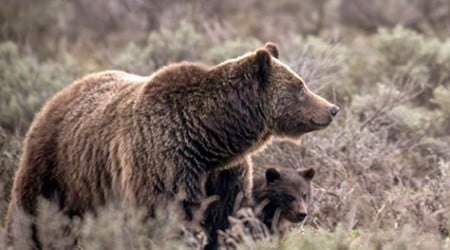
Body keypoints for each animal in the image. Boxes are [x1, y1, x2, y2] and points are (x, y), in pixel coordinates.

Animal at [6, 42, 338, 248]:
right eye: (299, 86)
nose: (332, 108)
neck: (209, 138)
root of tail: (58, 95)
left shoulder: (224, 174)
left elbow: (224, 218)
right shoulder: (166, 161)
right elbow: (168, 215)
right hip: (56, 166)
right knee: (31, 215)